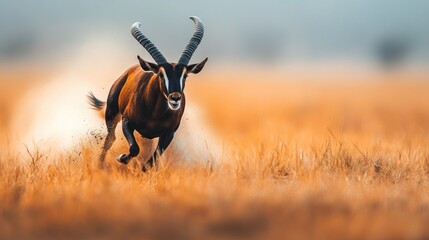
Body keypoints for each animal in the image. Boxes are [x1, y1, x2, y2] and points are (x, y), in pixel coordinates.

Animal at [87, 16, 207, 171]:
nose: (175, 98)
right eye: (161, 74)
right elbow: (134, 149)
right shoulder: (127, 122)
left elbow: (150, 162)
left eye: (185, 75)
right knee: (110, 138)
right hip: (112, 114)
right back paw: (100, 165)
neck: (155, 114)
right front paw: (121, 158)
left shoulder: (169, 134)